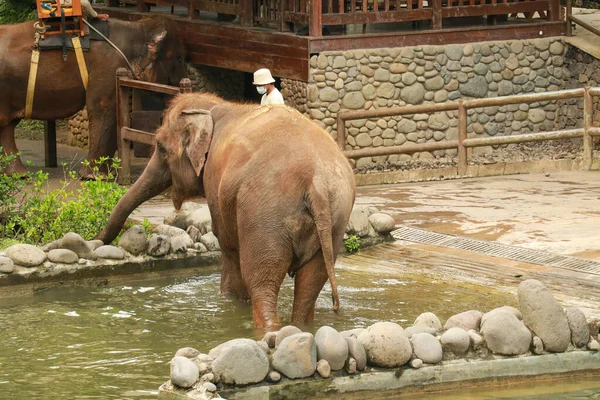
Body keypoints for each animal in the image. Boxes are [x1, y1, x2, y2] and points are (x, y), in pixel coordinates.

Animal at [0, 16, 188, 177]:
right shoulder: (109, 67)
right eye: (179, 58)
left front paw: (106, 173)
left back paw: (17, 174)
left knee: (7, 127)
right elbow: (103, 107)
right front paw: (95, 177)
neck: (136, 27)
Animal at [95, 94, 354, 328]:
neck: (215, 105)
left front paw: (230, 301)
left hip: (265, 214)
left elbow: (226, 242)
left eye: (160, 147)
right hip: (334, 219)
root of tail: (315, 181)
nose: (97, 240)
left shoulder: (214, 182)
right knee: (311, 281)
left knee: (262, 281)